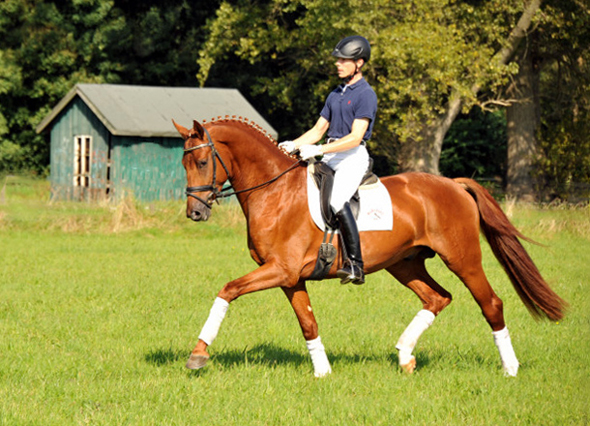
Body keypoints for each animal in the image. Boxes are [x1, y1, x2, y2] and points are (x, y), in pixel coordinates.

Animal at [172, 115, 568, 376]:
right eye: (183, 163)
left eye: (203, 161)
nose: (195, 212)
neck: (275, 192)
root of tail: (454, 184)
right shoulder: (289, 277)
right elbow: (308, 323)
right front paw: (323, 372)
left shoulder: (279, 270)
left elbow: (228, 290)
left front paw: (198, 354)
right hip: (404, 263)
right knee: (437, 297)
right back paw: (405, 356)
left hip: (462, 259)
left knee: (490, 303)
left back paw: (510, 367)